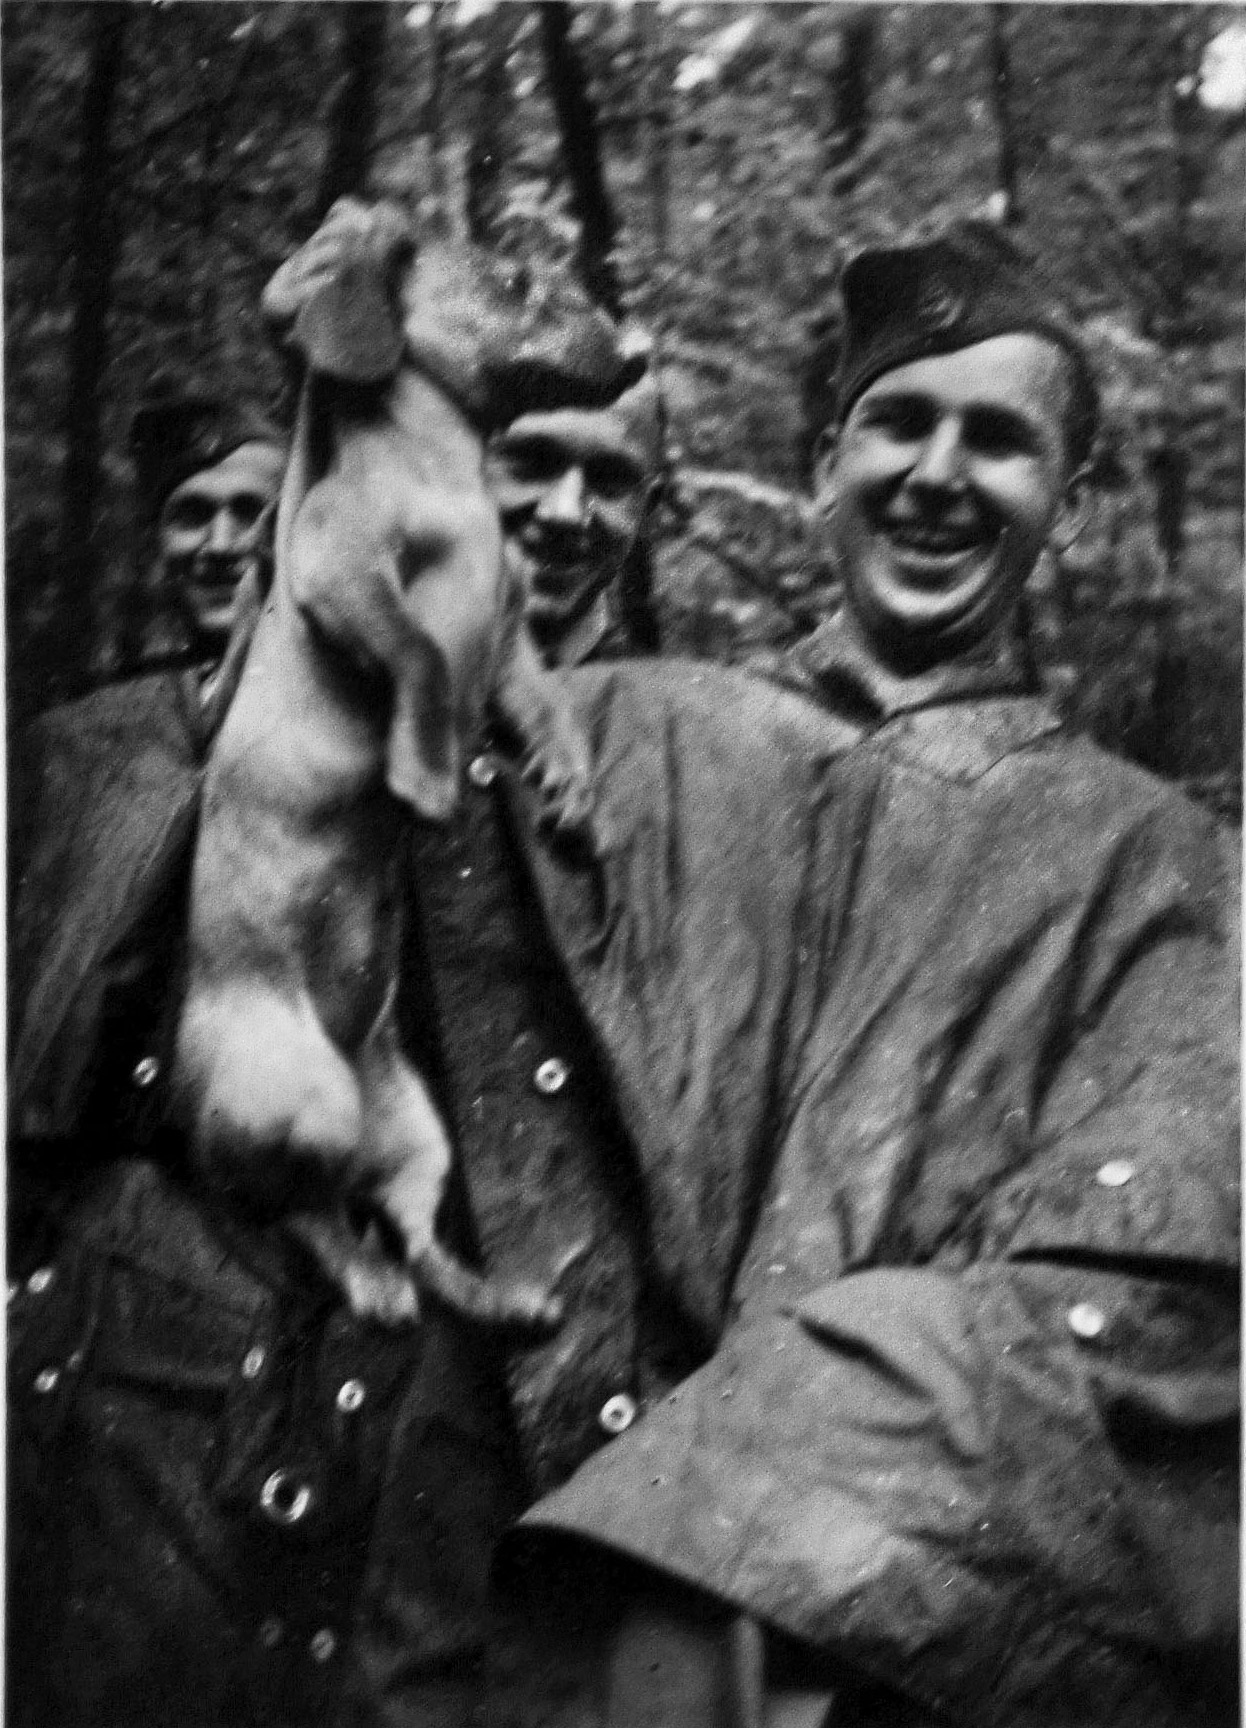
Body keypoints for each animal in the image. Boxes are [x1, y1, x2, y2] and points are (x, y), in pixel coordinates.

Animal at [174, 205, 642, 1334]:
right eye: (515, 281)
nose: (640, 349)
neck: (449, 479)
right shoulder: (346, 585)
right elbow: (423, 659)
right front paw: (424, 780)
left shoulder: (510, 639)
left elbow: (547, 714)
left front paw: (572, 797)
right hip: (305, 1109)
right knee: (287, 1212)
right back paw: (364, 1281)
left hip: (417, 1129)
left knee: (413, 1232)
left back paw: (499, 1296)